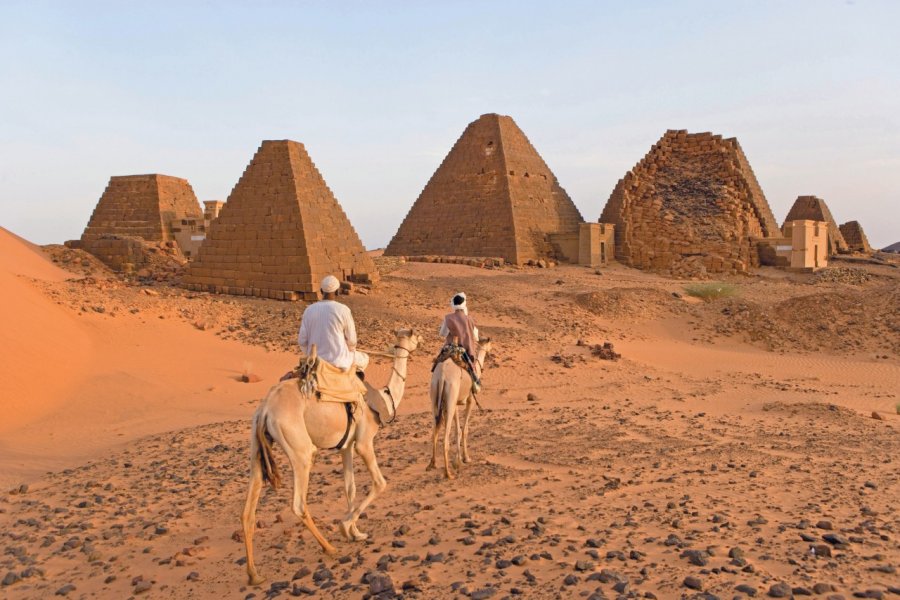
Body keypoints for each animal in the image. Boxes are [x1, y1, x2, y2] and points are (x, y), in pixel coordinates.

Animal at [239, 328, 422, 584]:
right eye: (413, 335)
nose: (422, 340)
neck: (384, 397)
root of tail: (265, 409)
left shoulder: (346, 446)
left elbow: (350, 488)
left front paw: (356, 532)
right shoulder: (364, 442)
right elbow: (380, 483)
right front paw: (346, 527)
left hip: (257, 447)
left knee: (248, 510)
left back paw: (254, 574)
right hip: (300, 448)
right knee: (298, 503)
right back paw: (329, 548)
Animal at [428, 340, 492, 480]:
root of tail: (442, 375)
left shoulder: (455, 403)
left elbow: (457, 429)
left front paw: (457, 460)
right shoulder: (470, 400)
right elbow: (465, 429)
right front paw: (466, 458)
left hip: (436, 396)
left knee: (435, 431)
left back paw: (432, 464)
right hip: (451, 393)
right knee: (445, 439)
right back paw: (448, 473)